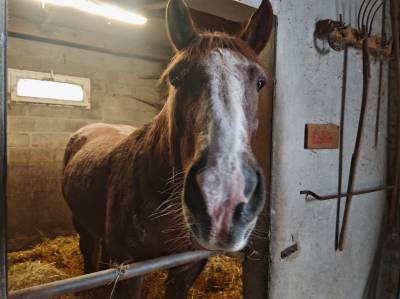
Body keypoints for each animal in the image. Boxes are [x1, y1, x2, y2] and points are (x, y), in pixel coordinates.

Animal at [61, 0, 276, 298]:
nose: (223, 201)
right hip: (81, 225)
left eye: (260, 82)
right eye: (175, 77)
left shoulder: (187, 268)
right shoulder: (129, 270)